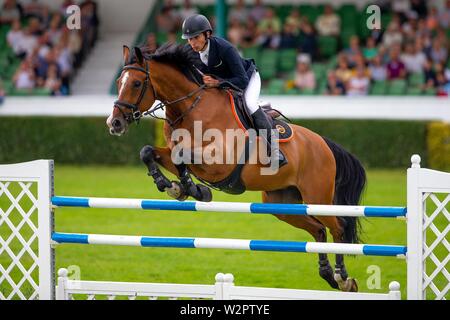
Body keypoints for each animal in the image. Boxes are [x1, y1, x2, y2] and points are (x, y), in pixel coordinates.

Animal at [107, 43, 368, 294]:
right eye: (119, 82)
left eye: (136, 83)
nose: (114, 123)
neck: (191, 108)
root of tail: (323, 143)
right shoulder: (178, 154)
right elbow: (149, 152)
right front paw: (173, 186)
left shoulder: (220, 161)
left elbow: (182, 157)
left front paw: (190, 189)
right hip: (282, 203)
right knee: (319, 231)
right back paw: (328, 275)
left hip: (317, 196)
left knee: (338, 228)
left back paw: (343, 278)